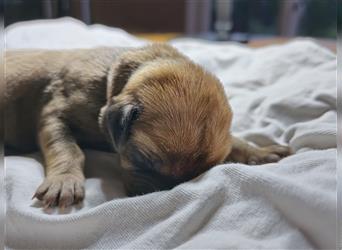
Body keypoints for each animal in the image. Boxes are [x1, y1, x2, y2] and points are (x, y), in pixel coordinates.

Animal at [2, 43, 292, 207]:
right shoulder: (55, 113)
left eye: (201, 173)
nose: (166, 192)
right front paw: (64, 181)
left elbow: (236, 142)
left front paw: (260, 151)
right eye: (144, 160)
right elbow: (68, 149)